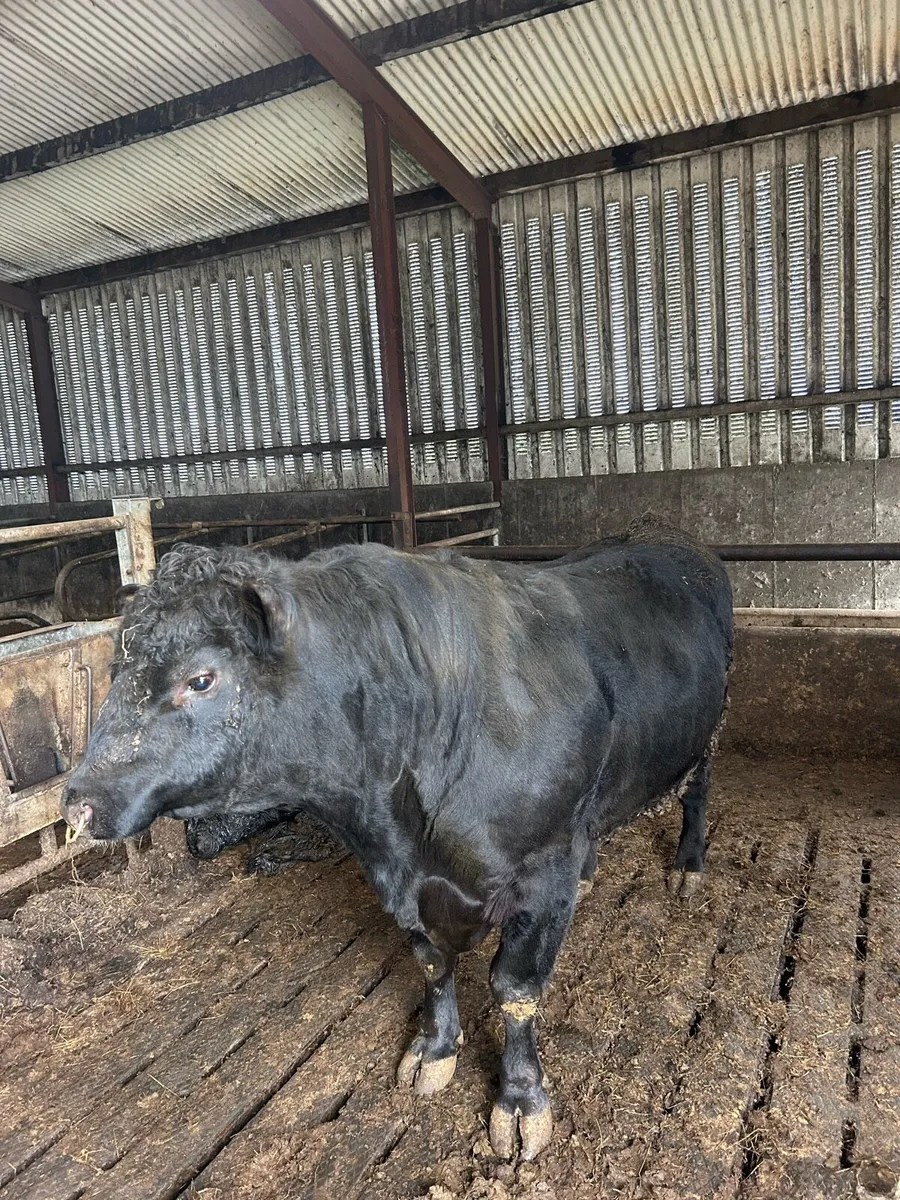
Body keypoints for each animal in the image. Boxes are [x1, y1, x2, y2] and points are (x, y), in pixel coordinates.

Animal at [62, 516, 733, 1161]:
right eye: (115, 669)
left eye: (201, 679)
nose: (77, 803)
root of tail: (668, 535)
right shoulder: (401, 876)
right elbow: (433, 962)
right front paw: (434, 1051)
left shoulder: (541, 872)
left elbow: (515, 989)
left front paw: (520, 1101)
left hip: (708, 737)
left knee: (697, 795)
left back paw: (688, 866)